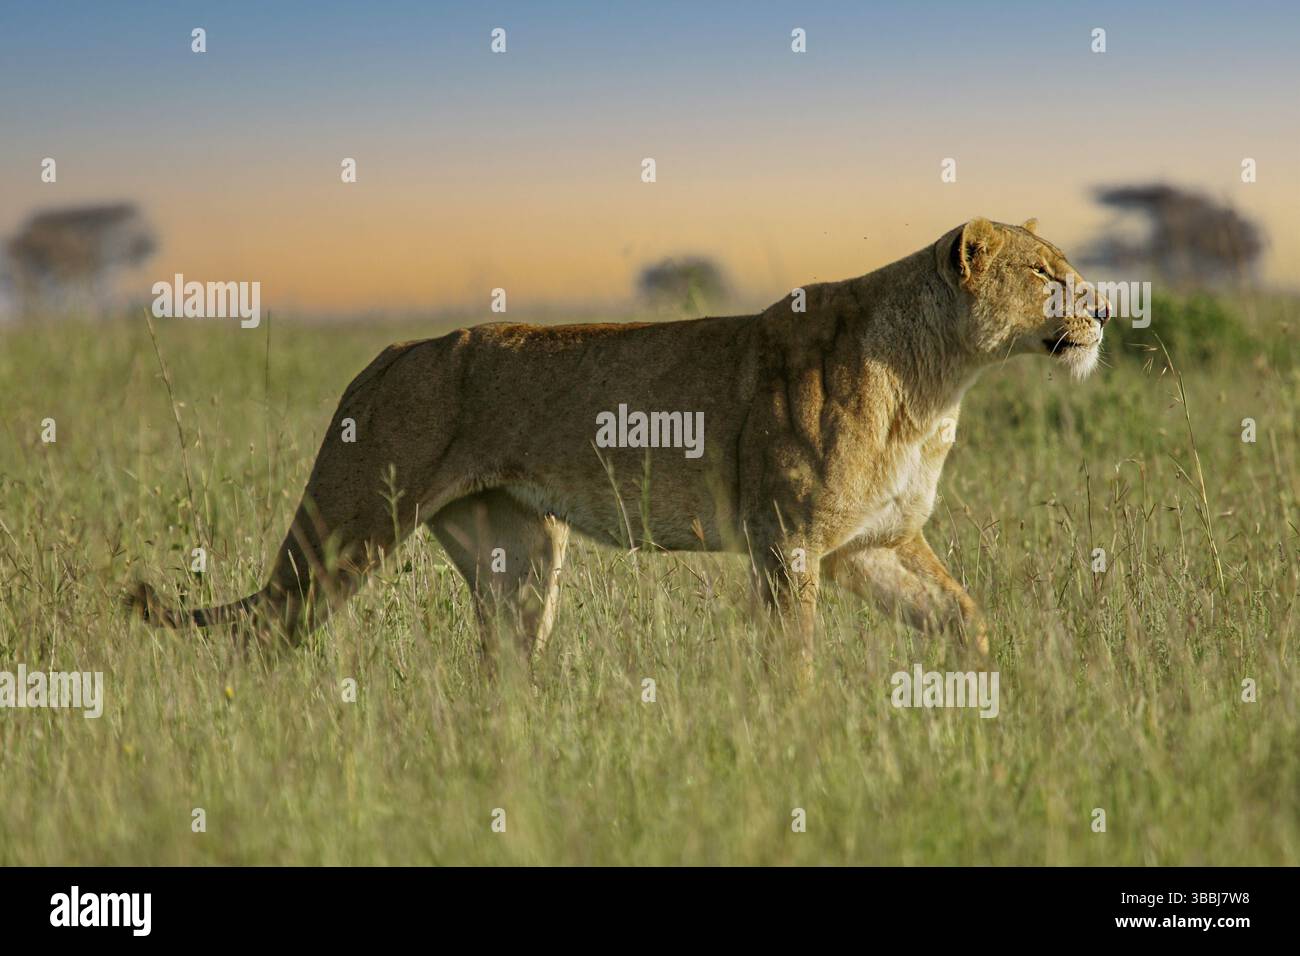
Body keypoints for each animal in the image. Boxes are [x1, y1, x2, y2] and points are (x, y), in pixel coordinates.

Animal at [129, 218, 1108, 658]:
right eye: (1046, 273)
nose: (1102, 308)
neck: (938, 383)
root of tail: (390, 351)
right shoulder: (787, 540)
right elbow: (792, 656)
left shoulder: (870, 544)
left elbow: (964, 614)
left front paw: (989, 695)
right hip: (349, 527)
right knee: (267, 630)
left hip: (519, 556)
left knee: (503, 662)